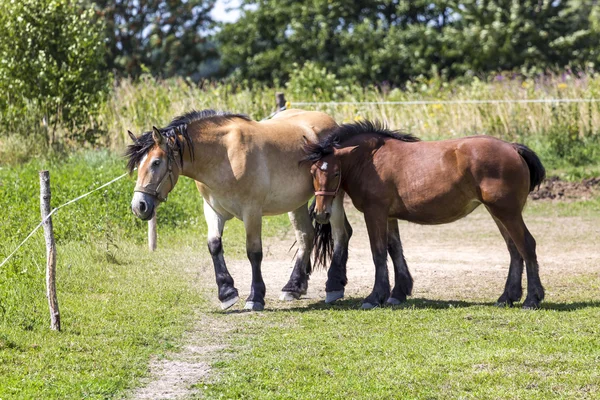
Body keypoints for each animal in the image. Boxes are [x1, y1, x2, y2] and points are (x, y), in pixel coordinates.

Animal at [126, 110, 352, 312]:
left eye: (156, 162)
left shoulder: (251, 211)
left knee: (340, 234)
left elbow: (254, 252)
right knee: (307, 236)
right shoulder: (213, 210)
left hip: (332, 198)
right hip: (296, 204)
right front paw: (227, 293)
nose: (139, 206)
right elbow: (214, 245)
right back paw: (294, 287)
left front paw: (255, 298)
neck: (224, 155)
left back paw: (334, 286)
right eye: (138, 165)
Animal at [308, 121, 548, 310]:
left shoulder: (374, 213)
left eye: (336, 173)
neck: (371, 159)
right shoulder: (389, 217)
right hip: (498, 213)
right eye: (313, 172)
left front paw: (375, 297)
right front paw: (398, 293)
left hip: (507, 213)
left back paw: (531, 300)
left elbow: (378, 253)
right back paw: (507, 297)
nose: (321, 213)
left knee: (526, 246)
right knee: (514, 250)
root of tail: (513, 148)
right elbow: (395, 250)